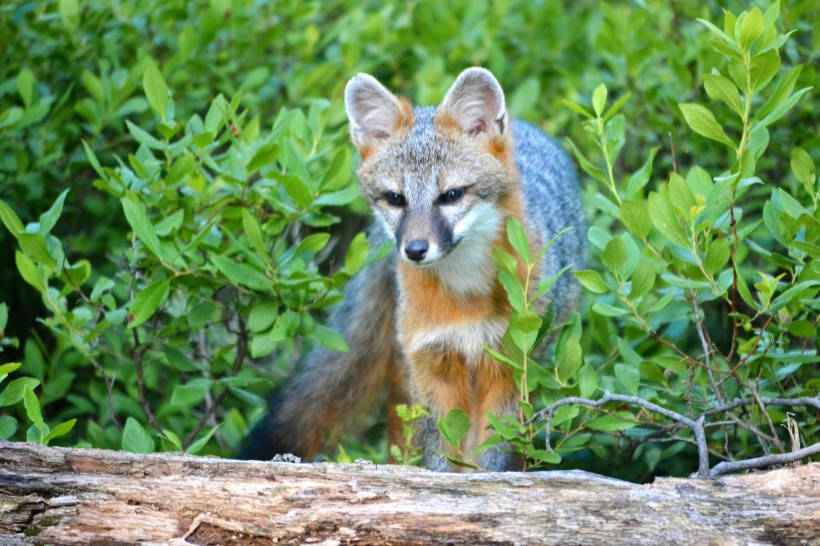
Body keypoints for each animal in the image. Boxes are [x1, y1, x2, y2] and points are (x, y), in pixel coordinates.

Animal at [240, 67, 588, 468]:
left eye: (451, 195)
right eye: (395, 198)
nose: (415, 250)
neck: (465, 296)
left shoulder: (510, 367)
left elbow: (494, 453)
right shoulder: (432, 367)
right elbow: (438, 453)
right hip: (405, 376)